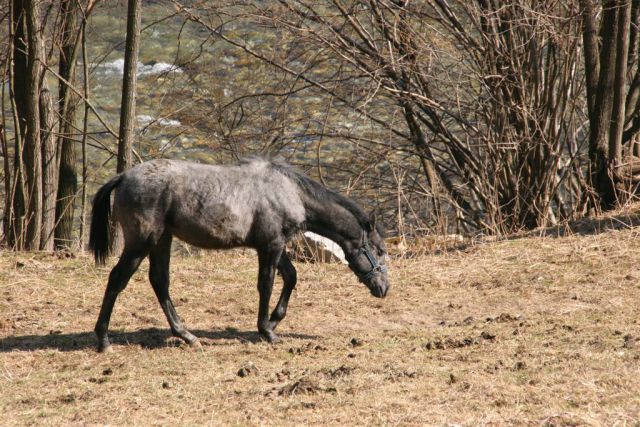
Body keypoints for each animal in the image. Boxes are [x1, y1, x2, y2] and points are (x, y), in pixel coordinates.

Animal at [89, 159, 390, 352]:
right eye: (379, 250)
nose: (384, 288)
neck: (289, 192)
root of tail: (123, 176)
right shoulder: (270, 246)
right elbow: (266, 284)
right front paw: (266, 330)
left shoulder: (273, 245)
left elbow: (291, 277)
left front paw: (274, 320)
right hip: (141, 243)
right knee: (117, 279)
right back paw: (103, 340)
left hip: (162, 240)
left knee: (159, 282)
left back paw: (187, 335)